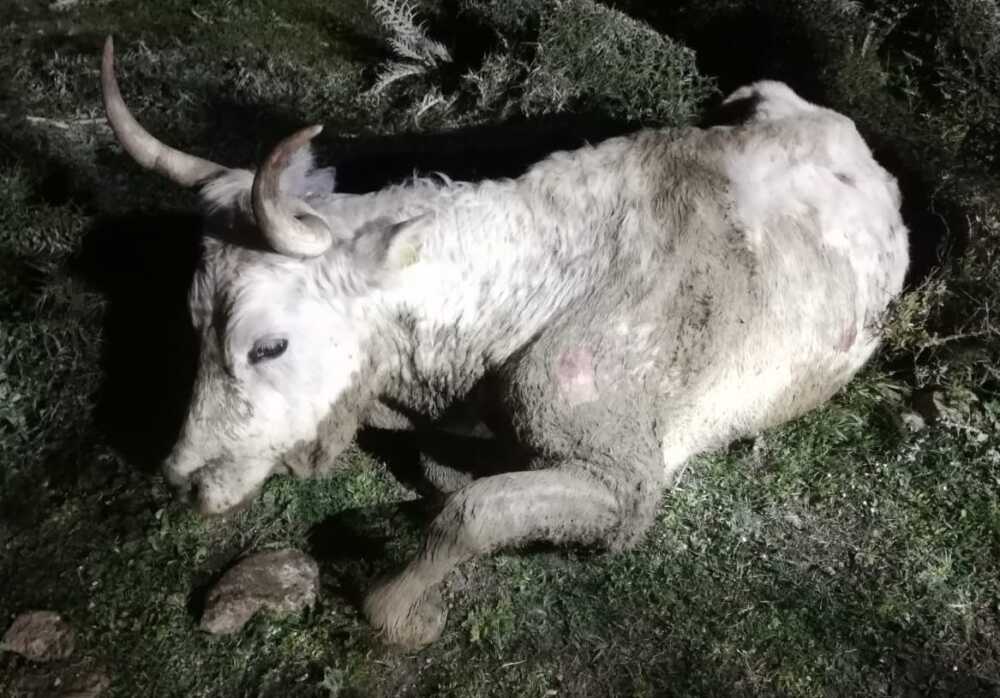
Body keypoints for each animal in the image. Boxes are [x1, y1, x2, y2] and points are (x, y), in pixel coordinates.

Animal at [99, 35, 909, 648]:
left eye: (269, 346)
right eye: (191, 321)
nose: (181, 477)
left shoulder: (628, 480)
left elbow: (471, 511)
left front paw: (400, 610)